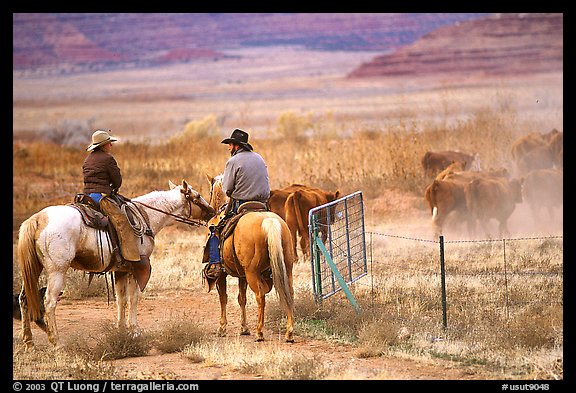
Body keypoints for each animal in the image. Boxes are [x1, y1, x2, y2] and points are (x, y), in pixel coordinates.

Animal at [18, 179, 216, 348]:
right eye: (197, 195)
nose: (213, 211)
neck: (146, 216)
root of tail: (38, 219)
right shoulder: (138, 269)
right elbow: (134, 298)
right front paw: (135, 330)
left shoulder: (121, 270)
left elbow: (121, 299)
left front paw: (120, 329)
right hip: (57, 271)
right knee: (50, 302)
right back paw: (57, 342)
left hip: (34, 270)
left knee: (24, 299)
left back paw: (29, 341)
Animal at [207, 176, 296, 342]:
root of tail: (269, 221)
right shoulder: (241, 275)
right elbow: (241, 298)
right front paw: (244, 328)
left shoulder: (222, 274)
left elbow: (223, 298)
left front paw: (222, 328)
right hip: (287, 268)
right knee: (290, 293)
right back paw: (289, 333)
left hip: (251, 273)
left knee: (260, 296)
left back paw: (259, 332)